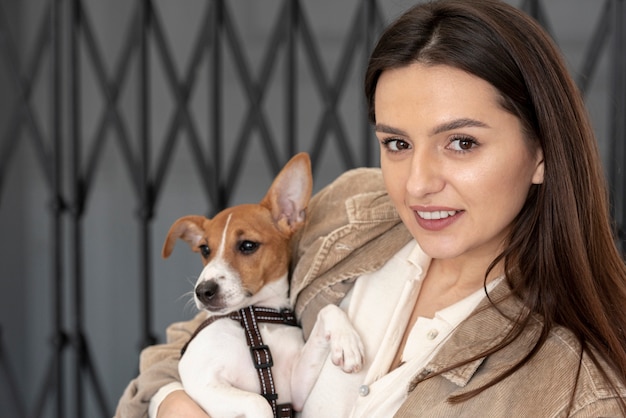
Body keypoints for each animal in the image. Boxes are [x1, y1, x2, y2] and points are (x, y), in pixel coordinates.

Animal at [161, 153, 364, 418]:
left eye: (248, 245)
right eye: (205, 249)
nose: (203, 291)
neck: (254, 319)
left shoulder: (294, 392)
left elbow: (327, 310)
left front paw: (346, 341)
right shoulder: (199, 379)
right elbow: (258, 402)